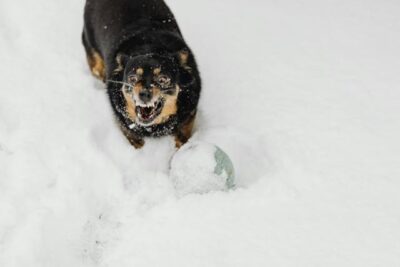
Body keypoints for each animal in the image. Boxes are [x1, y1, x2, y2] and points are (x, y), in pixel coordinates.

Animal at [82, 0, 200, 149]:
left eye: (163, 79)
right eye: (132, 78)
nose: (144, 94)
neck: (151, 48)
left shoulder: (189, 114)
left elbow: (184, 135)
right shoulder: (124, 122)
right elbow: (132, 136)